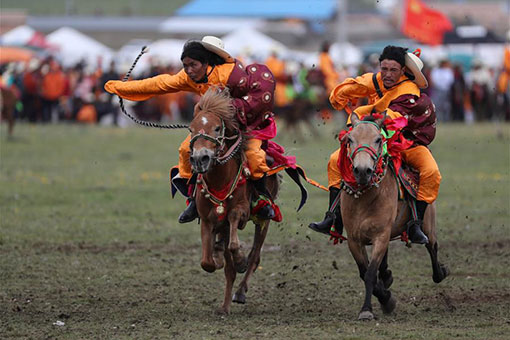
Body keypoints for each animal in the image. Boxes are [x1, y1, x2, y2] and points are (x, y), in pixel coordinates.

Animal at [187, 87, 278, 314]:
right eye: (191, 129)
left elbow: (236, 241)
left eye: (217, 128)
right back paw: (225, 305)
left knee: (255, 255)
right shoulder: (207, 221)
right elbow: (207, 263)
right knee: (228, 266)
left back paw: (240, 291)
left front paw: (240, 259)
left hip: (264, 221)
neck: (220, 179)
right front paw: (218, 256)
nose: (200, 159)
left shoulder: (241, 212)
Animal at [340, 113, 448, 320]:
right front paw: (385, 298)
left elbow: (370, 274)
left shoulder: (381, 235)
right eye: (350, 139)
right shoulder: (354, 240)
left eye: (378, 139)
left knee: (432, 247)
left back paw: (440, 272)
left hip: (428, 225)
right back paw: (387, 276)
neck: (364, 198)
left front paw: (369, 309)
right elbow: (365, 272)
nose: (362, 171)